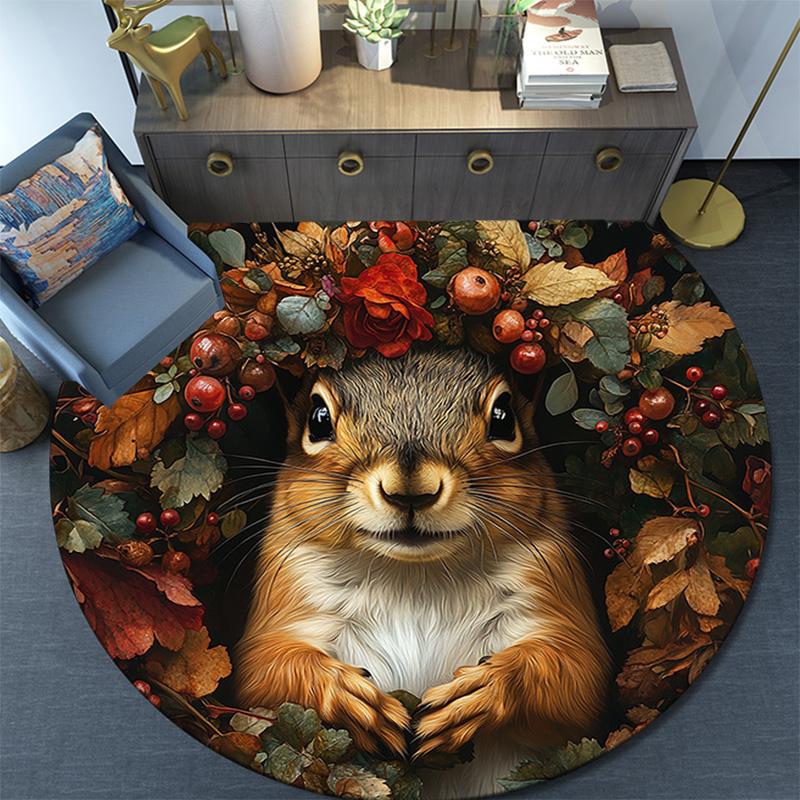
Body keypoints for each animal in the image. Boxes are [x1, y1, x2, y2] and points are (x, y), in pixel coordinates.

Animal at [235, 347, 611, 799]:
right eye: (318, 418)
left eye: (504, 417)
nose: (411, 491)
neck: (416, 577)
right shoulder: (291, 587)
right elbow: (266, 671)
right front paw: (346, 695)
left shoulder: (548, 581)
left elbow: (576, 676)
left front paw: (482, 692)